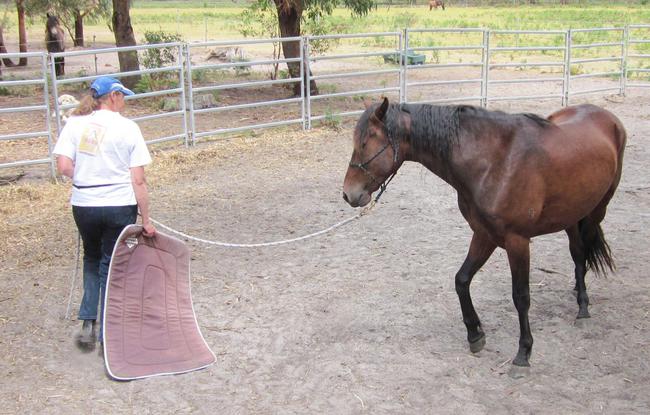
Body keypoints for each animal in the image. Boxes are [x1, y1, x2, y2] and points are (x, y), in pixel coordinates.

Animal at [342, 97, 626, 373]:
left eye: (366, 142)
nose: (348, 194)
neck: (495, 161)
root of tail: (607, 117)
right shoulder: (483, 234)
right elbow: (462, 280)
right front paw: (474, 334)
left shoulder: (517, 241)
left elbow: (521, 296)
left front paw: (523, 353)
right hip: (572, 214)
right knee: (578, 254)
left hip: (595, 211)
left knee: (582, 252)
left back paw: (583, 306)